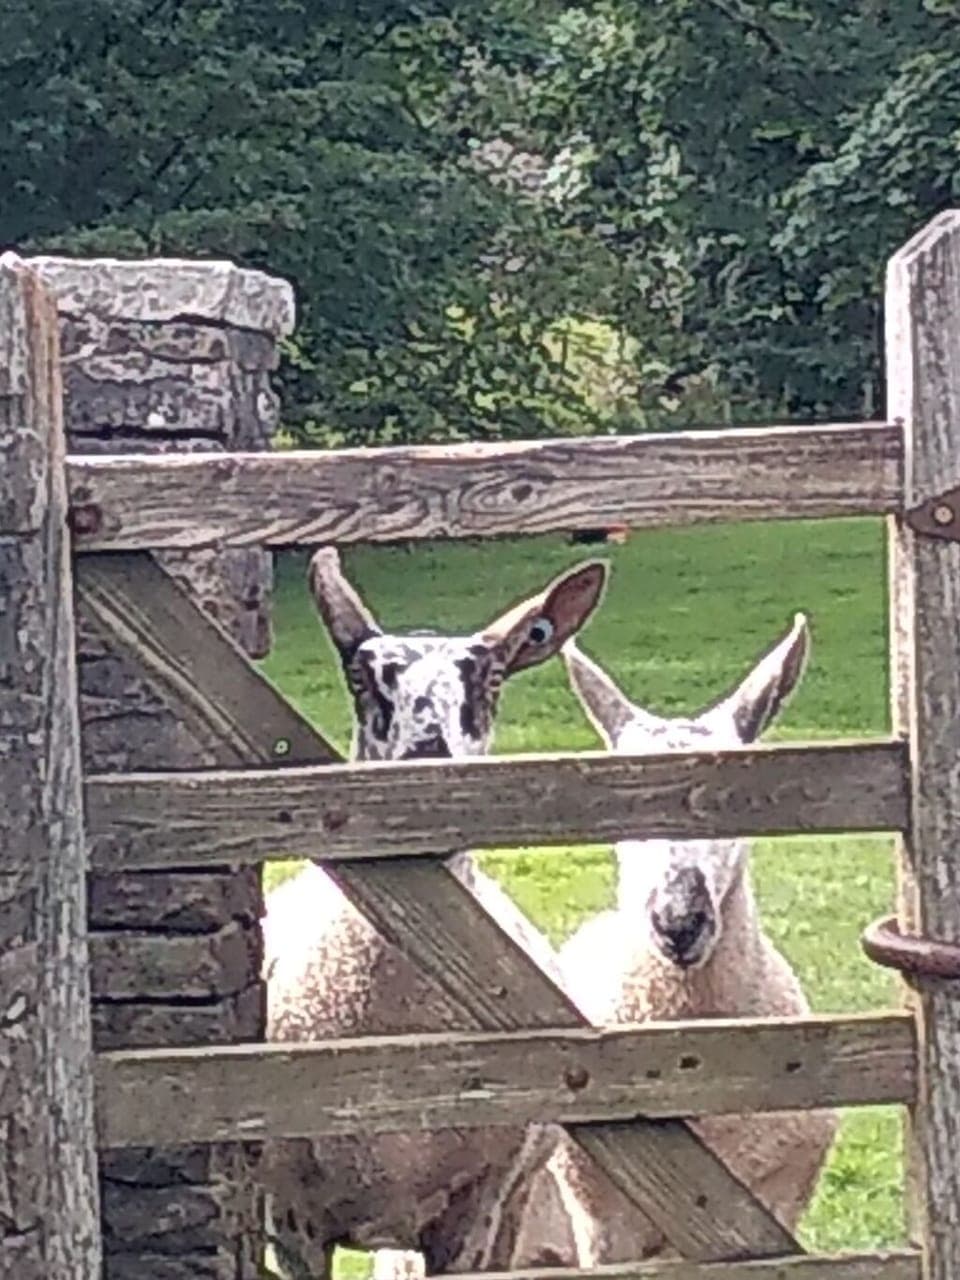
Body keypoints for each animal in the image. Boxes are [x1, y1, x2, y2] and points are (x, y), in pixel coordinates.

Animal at [263, 547, 607, 1280]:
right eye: (361, 678)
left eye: (493, 678)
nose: (428, 770)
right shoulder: (293, 1216)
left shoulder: (476, 1205)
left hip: (515, 1195)